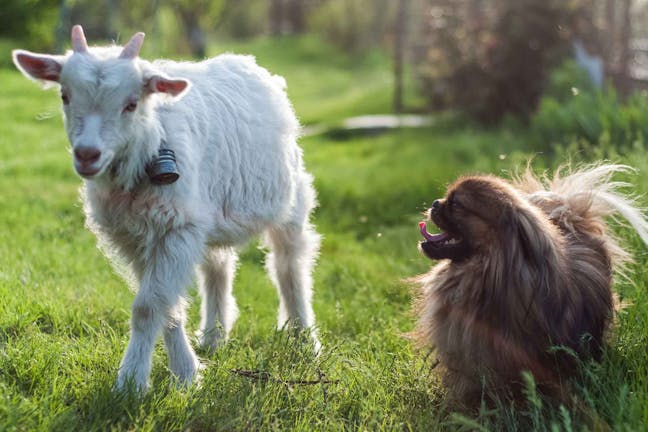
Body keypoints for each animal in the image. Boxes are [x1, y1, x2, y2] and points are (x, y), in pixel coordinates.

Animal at [12, 27, 322, 392]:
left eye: (131, 104)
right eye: (65, 95)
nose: (87, 154)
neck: (151, 143)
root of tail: (249, 63)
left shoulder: (176, 230)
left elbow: (149, 307)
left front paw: (132, 382)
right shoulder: (135, 237)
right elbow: (167, 306)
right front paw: (186, 373)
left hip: (292, 199)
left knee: (289, 265)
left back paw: (304, 339)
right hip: (208, 215)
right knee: (218, 267)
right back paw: (214, 337)